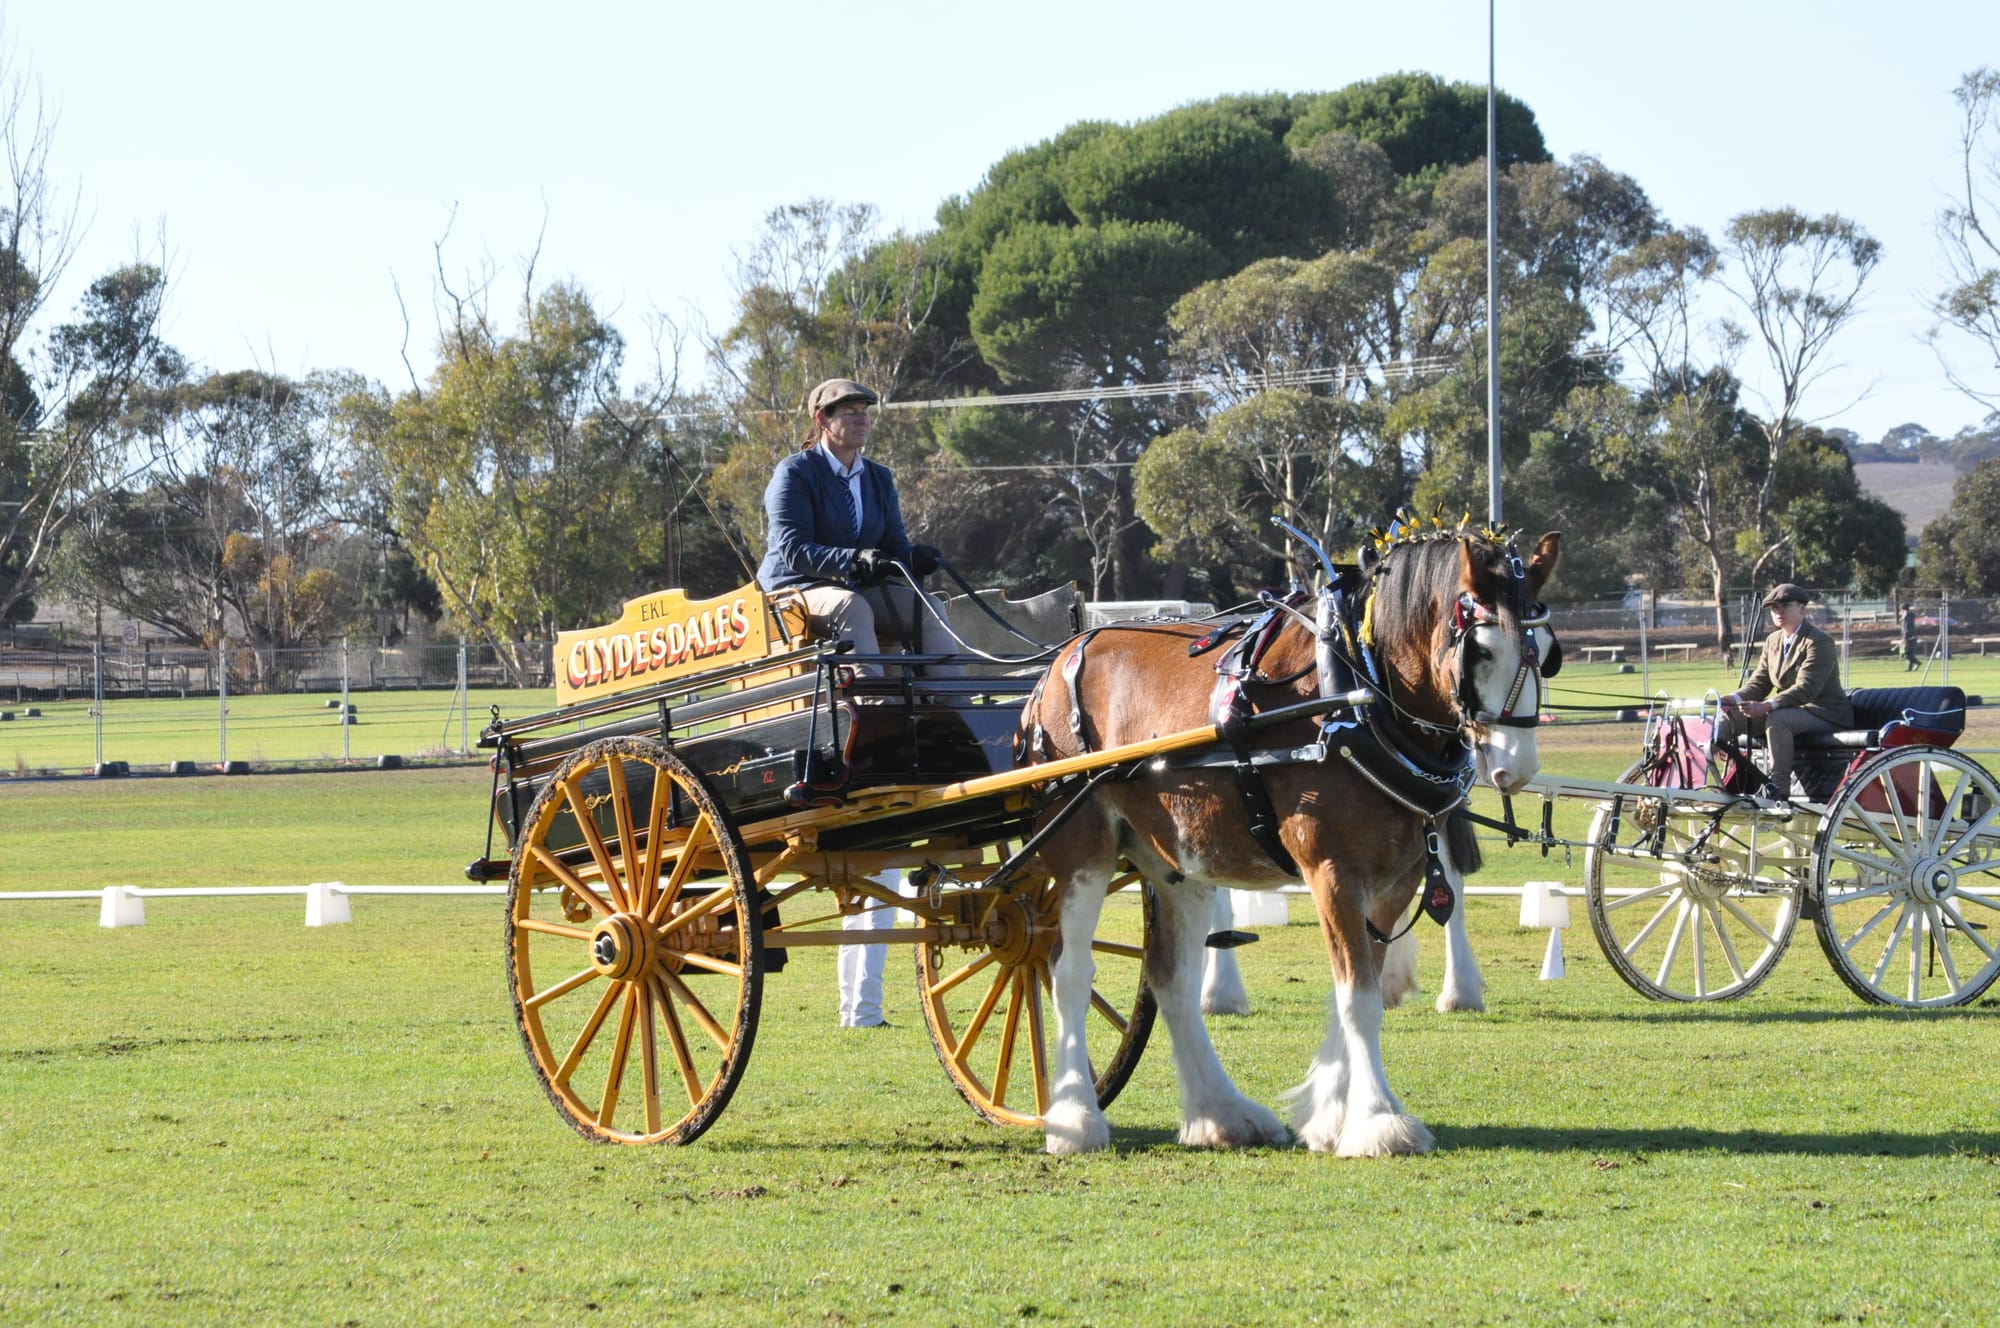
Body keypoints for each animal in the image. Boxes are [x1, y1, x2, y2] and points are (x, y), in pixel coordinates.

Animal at [1020, 526, 1561, 1156]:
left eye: (1547, 652)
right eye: (1482, 650)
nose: (1515, 767)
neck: (1353, 696)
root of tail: (1058, 663)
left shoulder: (1392, 883)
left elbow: (1357, 987)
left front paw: (1331, 1114)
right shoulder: (1332, 871)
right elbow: (1359, 998)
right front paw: (1378, 1120)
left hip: (1176, 862)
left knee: (1173, 980)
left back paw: (1220, 1112)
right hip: (1082, 850)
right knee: (1069, 971)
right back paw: (1075, 1120)